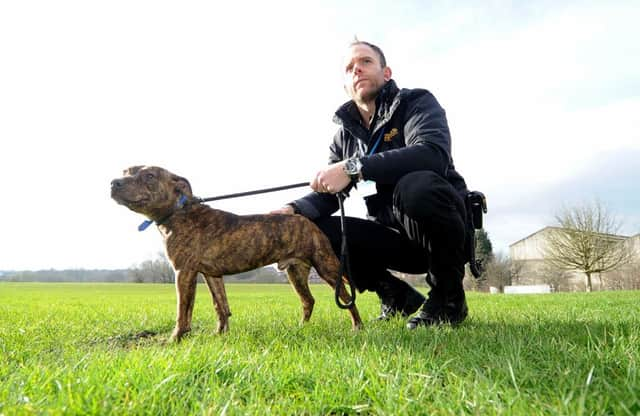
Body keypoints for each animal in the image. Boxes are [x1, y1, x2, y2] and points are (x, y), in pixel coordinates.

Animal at [112, 164, 362, 340]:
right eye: (126, 171)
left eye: (149, 176)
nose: (114, 182)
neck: (179, 212)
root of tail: (308, 222)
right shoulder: (211, 275)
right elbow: (221, 306)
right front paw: (220, 334)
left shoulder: (183, 272)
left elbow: (183, 311)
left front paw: (176, 338)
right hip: (295, 272)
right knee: (308, 300)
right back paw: (301, 328)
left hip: (326, 266)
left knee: (348, 299)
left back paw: (358, 328)